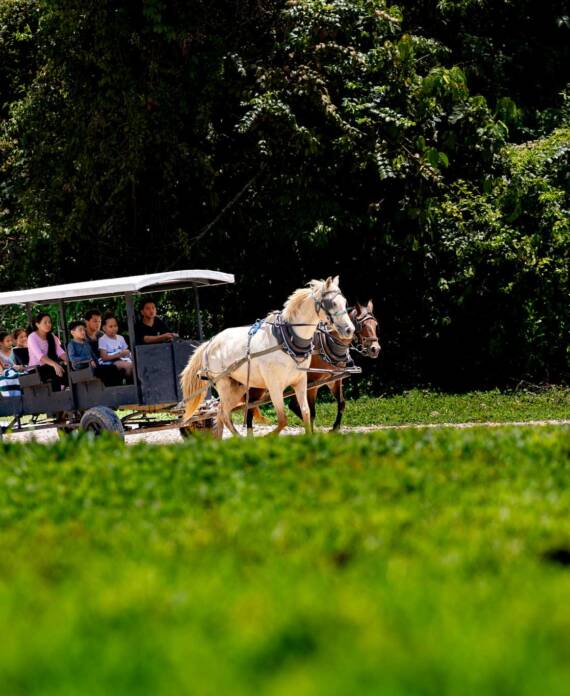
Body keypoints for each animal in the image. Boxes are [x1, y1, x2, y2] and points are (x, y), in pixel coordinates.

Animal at [180, 276, 354, 437]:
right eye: (332, 303)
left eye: (344, 302)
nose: (350, 330)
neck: (285, 341)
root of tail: (210, 343)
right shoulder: (274, 386)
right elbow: (283, 420)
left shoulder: (301, 381)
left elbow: (306, 412)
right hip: (224, 385)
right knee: (223, 414)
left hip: (238, 387)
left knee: (221, 413)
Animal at [246, 301, 380, 433]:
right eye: (362, 325)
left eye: (376, 325)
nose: (376, 349)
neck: (326, 343)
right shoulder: (312, 384)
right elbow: (312, 412)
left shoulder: (333, 380)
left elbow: (341, 403)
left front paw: (335, 428)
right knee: (250, 407)